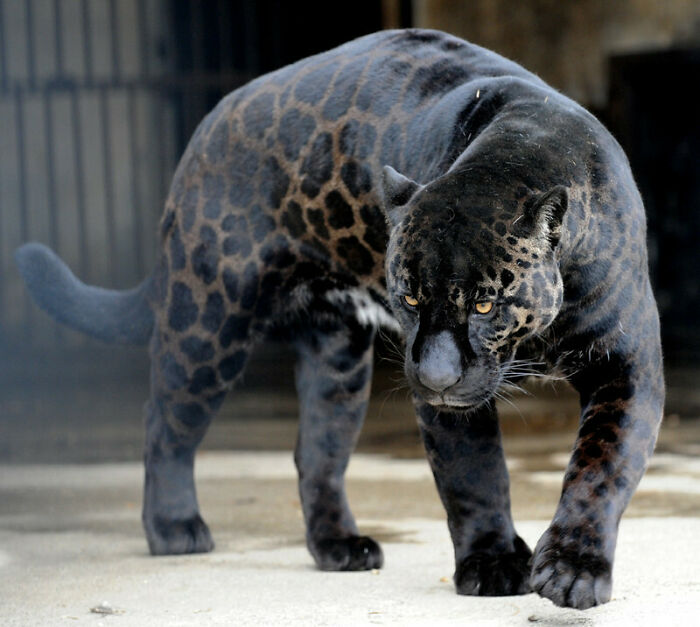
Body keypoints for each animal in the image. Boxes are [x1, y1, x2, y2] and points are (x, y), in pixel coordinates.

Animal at [15, 29, 664, 610]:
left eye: (484, 303)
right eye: (407, 298)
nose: (434, 377)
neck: (519, 149)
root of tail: (206, 129)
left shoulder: (625, 365)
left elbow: (600, 466)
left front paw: (574, 571)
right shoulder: (454, 406)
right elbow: (474, 474)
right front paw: (493, 563)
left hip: (338, 362)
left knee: (317, 453)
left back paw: (339, 546)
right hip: (208, 321)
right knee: (165, 421)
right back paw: (174, 527)